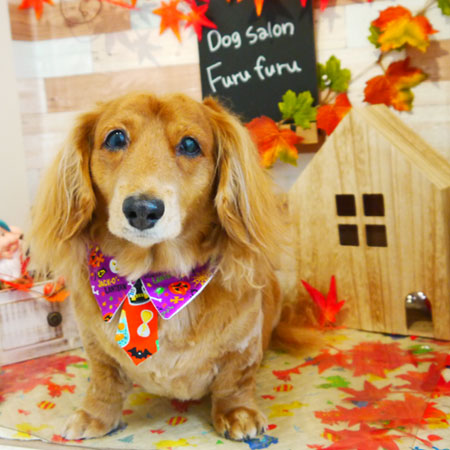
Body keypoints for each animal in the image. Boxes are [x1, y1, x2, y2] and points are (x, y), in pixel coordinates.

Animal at [29, 92, 286, 441]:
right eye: (116, 138)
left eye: (190, 144)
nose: (141, 209)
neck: (153, 280)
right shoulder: (95, 346)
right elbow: (104, 382)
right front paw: (95, 415)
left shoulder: (243, 344)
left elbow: (235, 380)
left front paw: (238, 413)